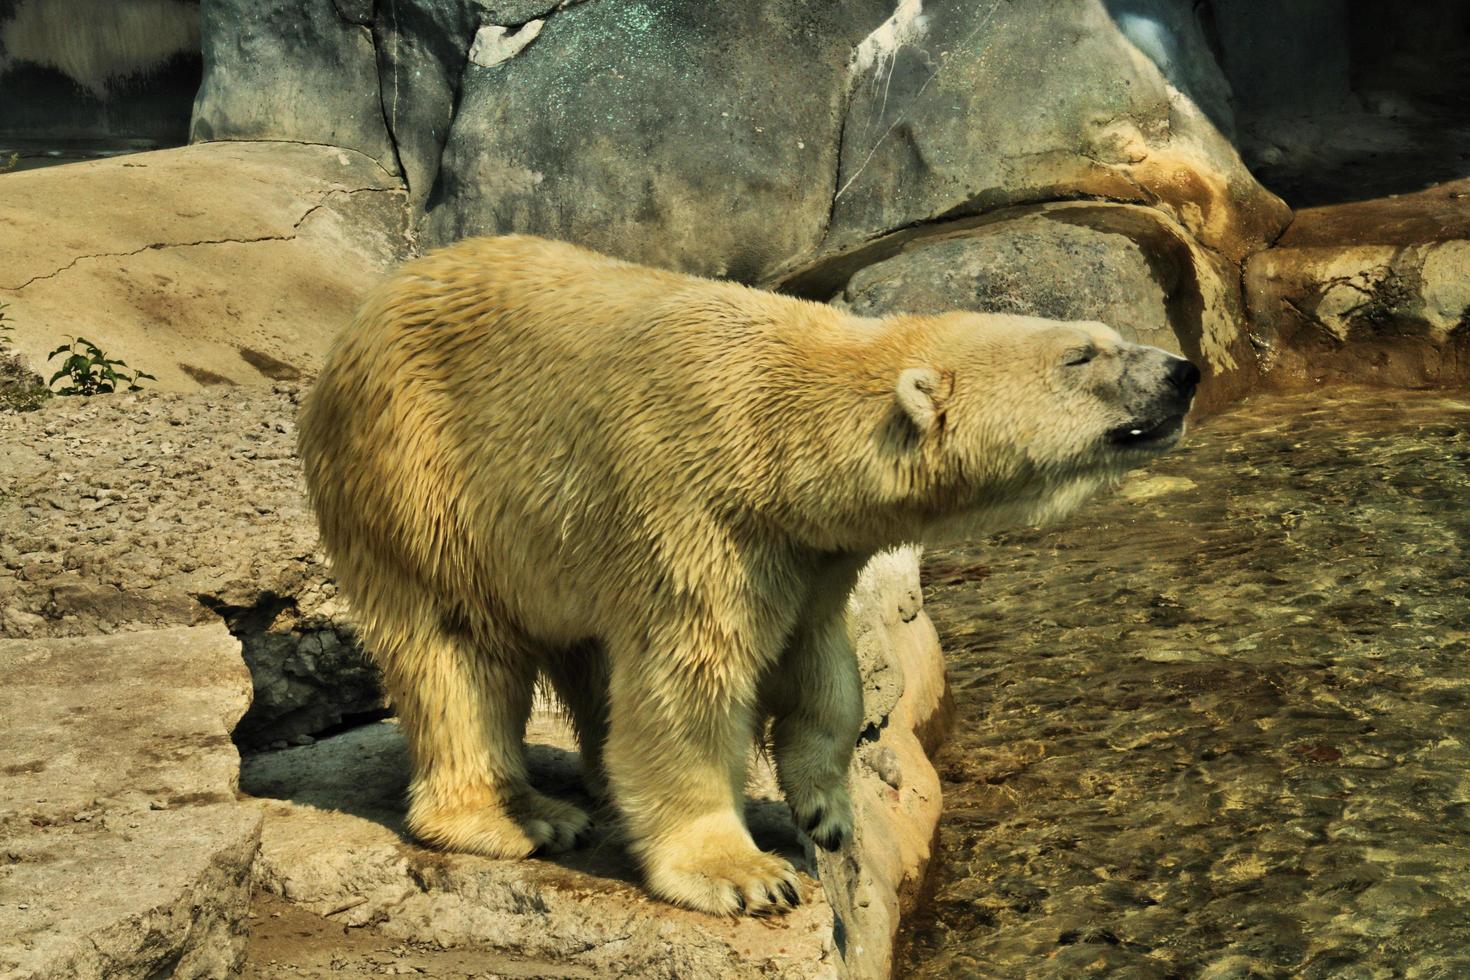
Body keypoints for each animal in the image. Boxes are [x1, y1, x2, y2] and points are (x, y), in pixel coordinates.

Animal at [295, 233, 1193, 916]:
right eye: (1082, 354)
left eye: (1101, 334)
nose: (1183, 372)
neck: (780, 434)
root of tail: (356, 324)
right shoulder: (694, 510)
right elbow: (690, 684)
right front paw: (745, 874)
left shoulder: (807, 548)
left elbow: (821, 662)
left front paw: (827, 809)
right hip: (418, 481)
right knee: (457, 649)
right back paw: (523, 818)